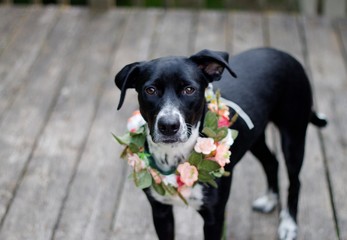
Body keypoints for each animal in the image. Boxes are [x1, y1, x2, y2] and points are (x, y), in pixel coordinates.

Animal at [114, 47, 326, 240]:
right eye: (150, 90)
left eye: (189, 90)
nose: (168, 126)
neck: (177, 157)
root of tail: (285, 54)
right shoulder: (161, 213)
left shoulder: (214, 218)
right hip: (256, 136)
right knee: (271, 162)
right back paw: (269, 200)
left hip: (293, 135)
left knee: (295, 181)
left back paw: (289, 224)